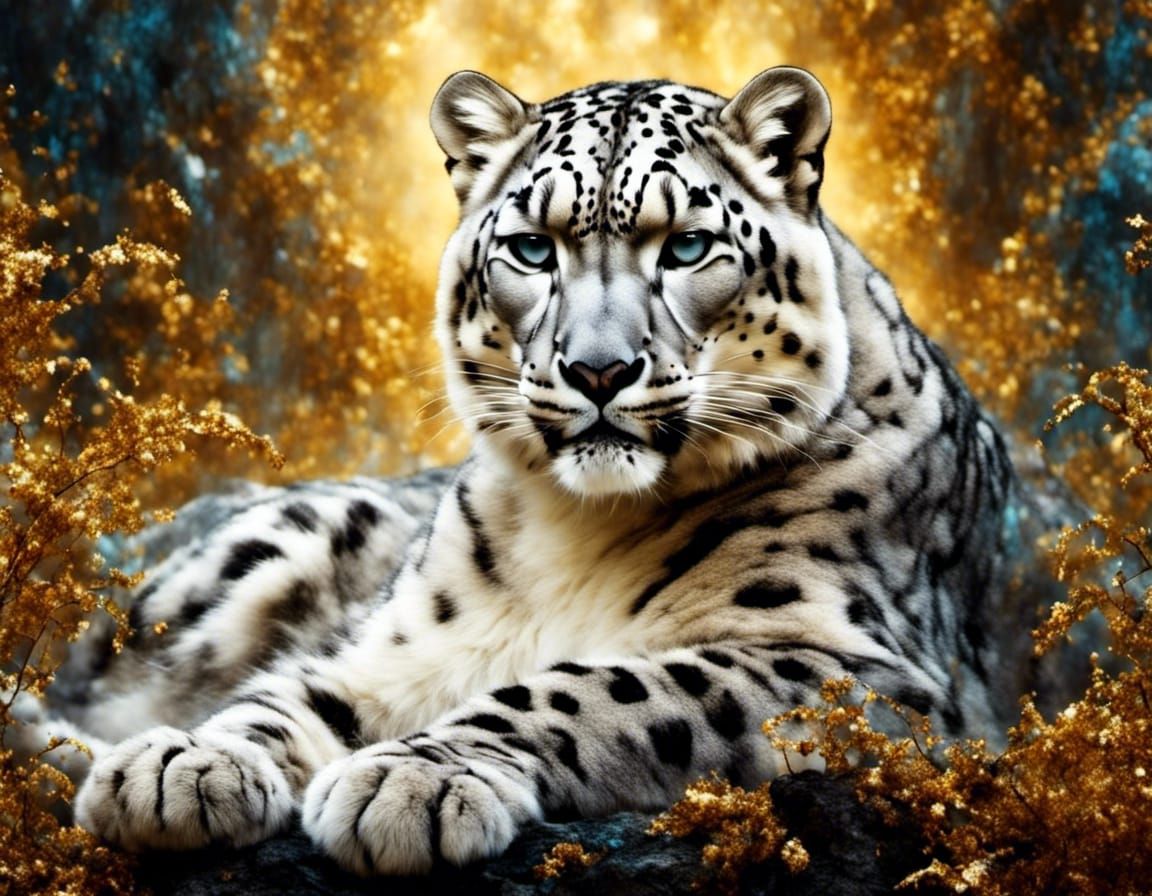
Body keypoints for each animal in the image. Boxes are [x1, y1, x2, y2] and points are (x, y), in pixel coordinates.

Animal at [63, 67, 1016, 875]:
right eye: (530, 249)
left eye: (688, 247)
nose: (598, 370)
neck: (578, 527)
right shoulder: (398, 646)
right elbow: (290, 696)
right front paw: (185, 762)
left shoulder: (848, 668)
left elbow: (602, 689)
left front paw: (412, 778)